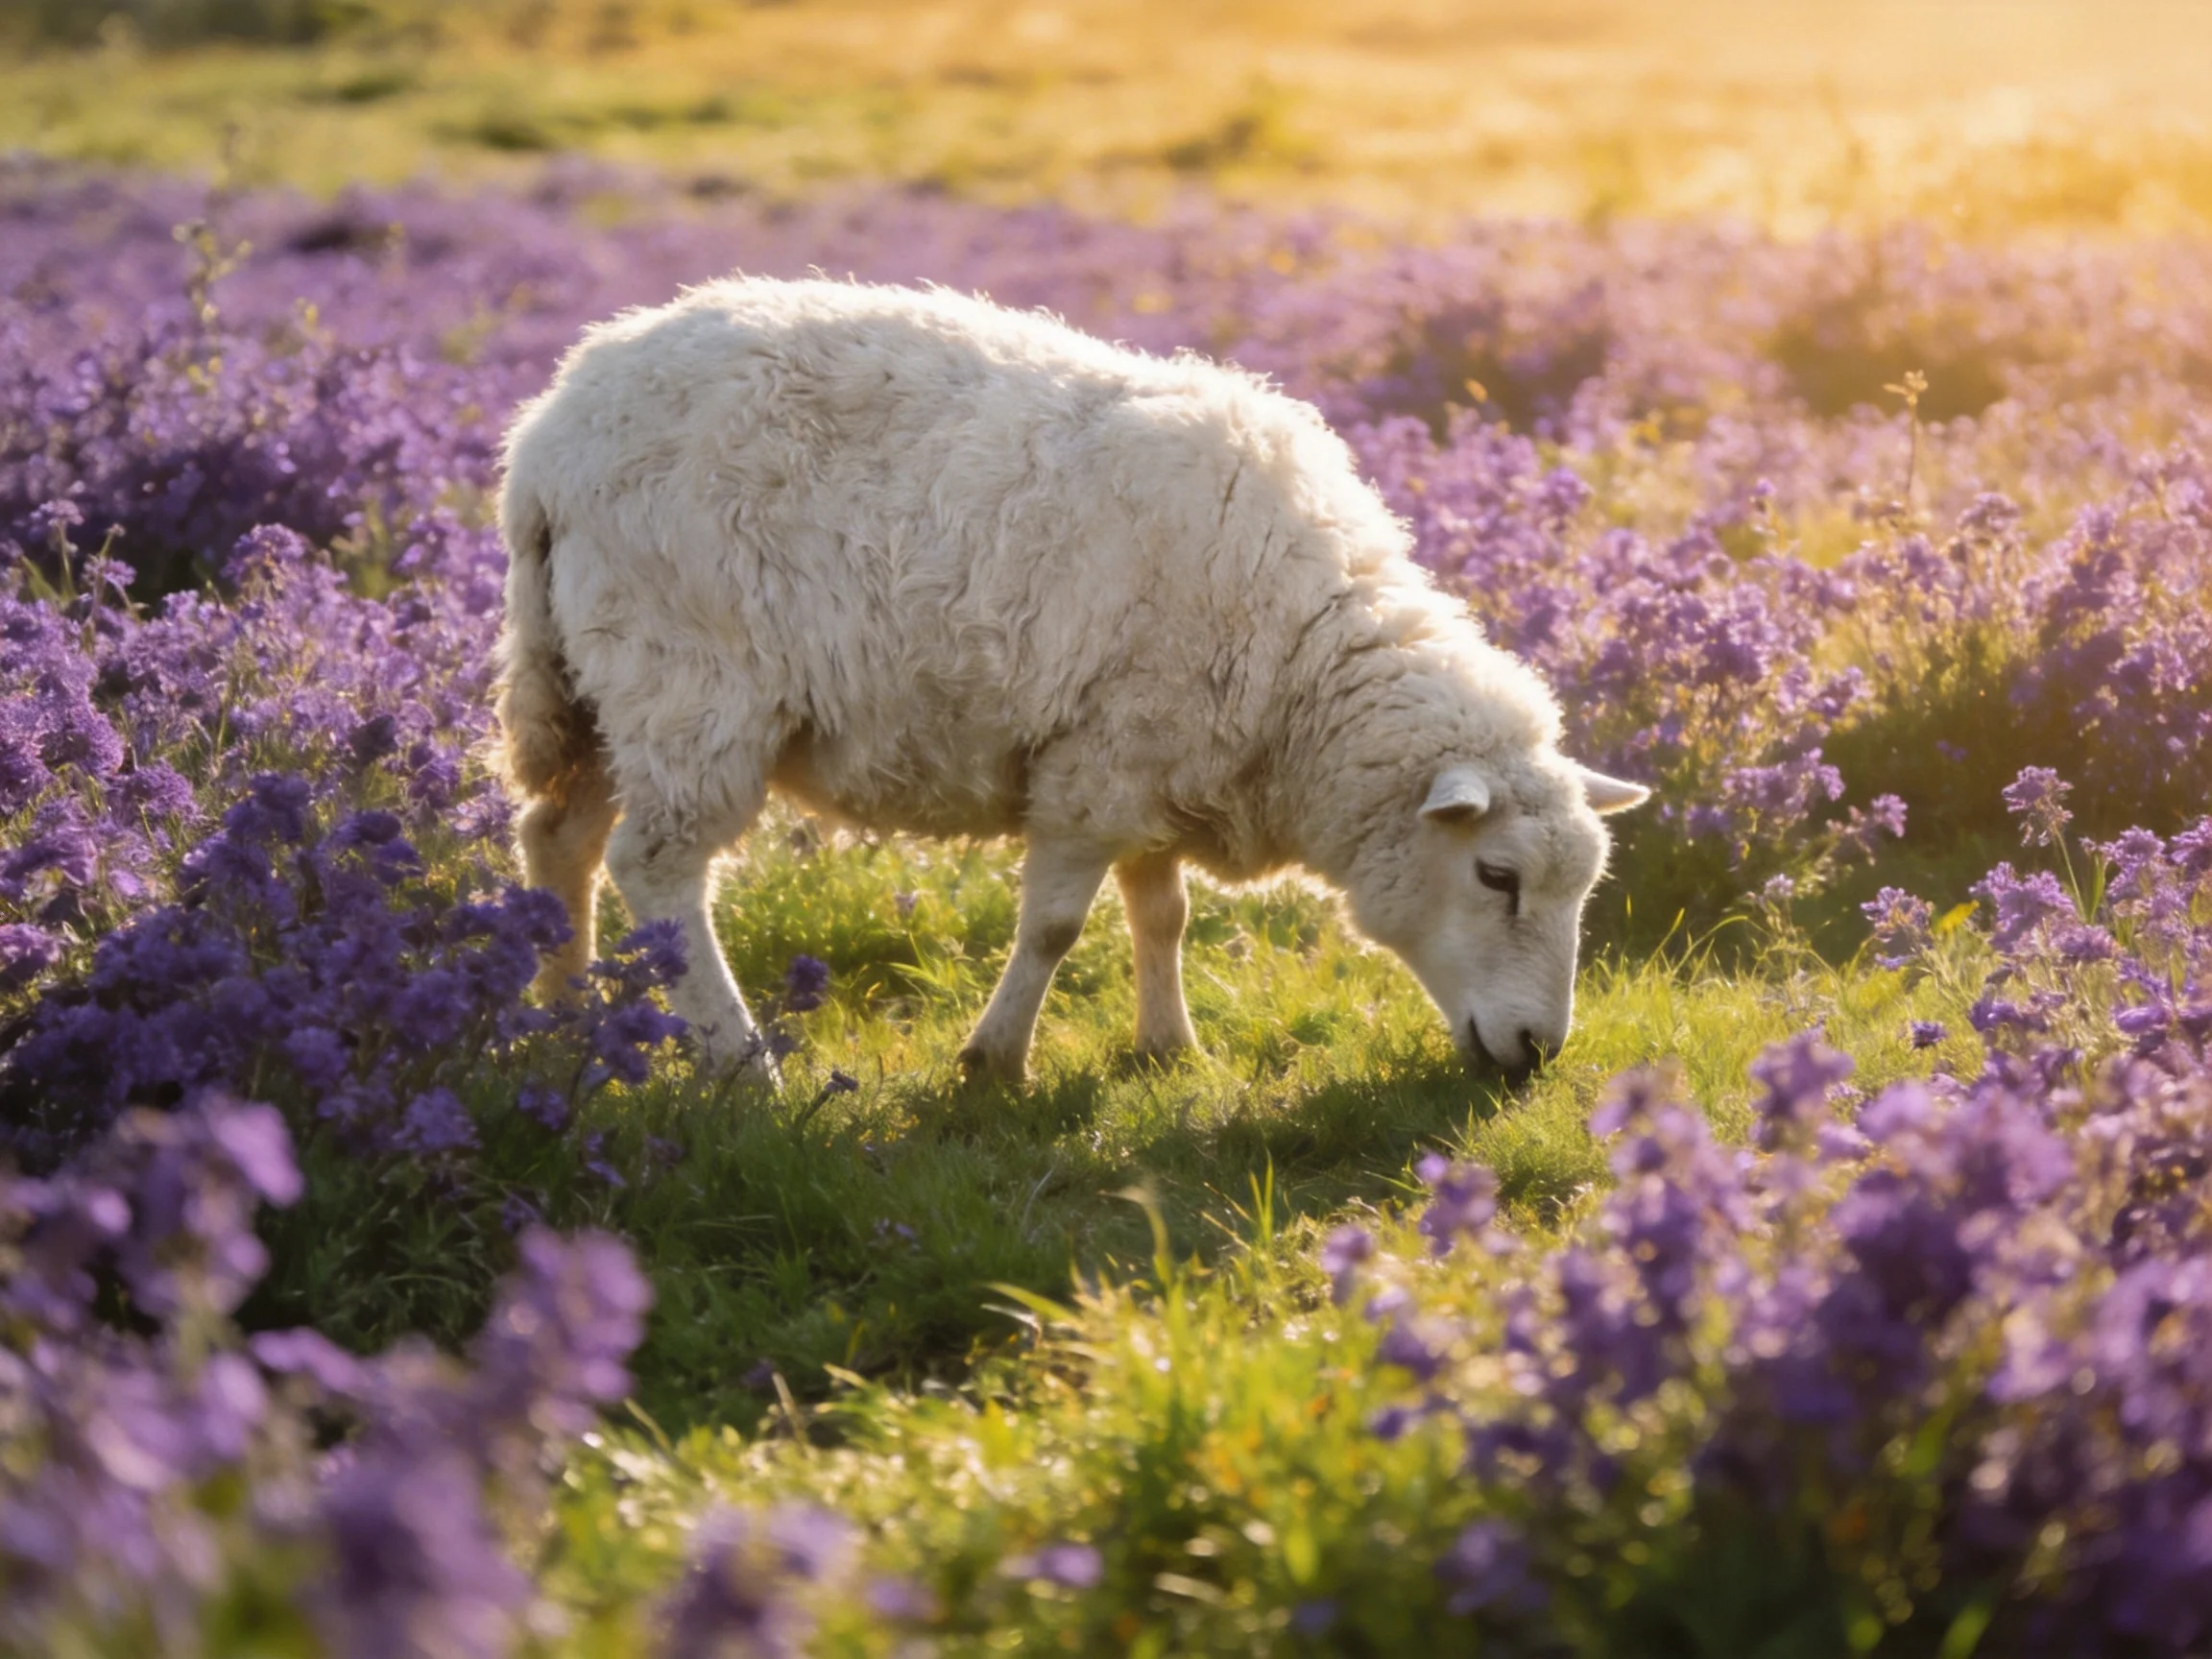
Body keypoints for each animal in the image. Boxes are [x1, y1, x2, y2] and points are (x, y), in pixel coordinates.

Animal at [496, 276, 1647, 1088]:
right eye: (1496, 876)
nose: (1540, 1051)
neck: (1303, 666)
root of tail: (548, 437)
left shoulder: (1160, 756)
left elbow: (1161, 911)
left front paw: (1170, 1047)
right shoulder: (1097, 766)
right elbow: (1054, 929)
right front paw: (994, 1060)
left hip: (590, 680)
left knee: (560, 838)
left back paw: (562, 1023)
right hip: (689, 681)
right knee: (656, 868)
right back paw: (738, 1060)